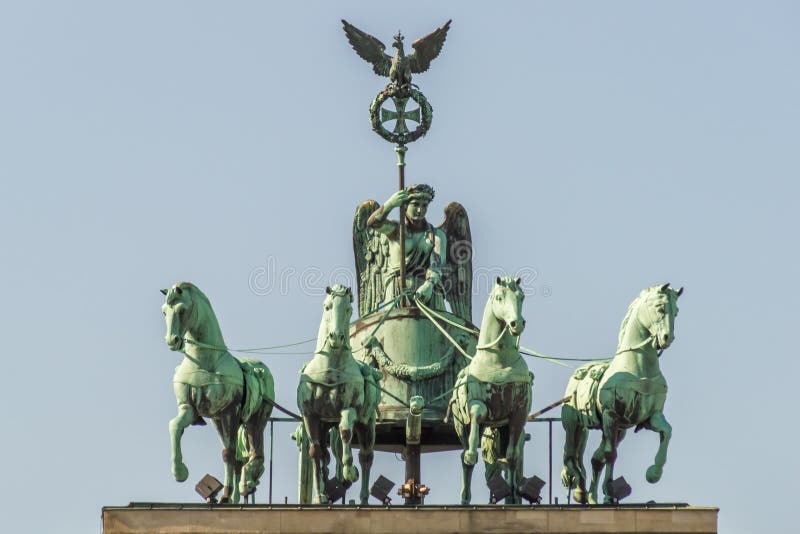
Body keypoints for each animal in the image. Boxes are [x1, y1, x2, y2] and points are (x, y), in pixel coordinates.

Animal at [162, 282, 276, 504]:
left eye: (182, 310)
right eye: (164, 311)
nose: (172, 341)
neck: (205, 360)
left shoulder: (230, 412)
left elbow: (230, 453)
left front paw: (226, 494)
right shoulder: (190, 409)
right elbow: (175, 426)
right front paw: (179, 472)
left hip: (255, 419)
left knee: (252, 451)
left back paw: (244, 483)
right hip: (218, 420)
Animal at [296, 286, 382, 504]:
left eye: (349, 309)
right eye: (327, 307)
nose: (336, 337)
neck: (330, 369)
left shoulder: (348, 408)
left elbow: (345, 432)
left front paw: (348, 471)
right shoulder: (311, 416)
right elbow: (316, 451)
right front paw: (321, 495)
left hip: (367, 423)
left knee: (366, 456)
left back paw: (363, 498)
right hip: (326, 425)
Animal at [450, 278, 532, 504]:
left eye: (521, 297)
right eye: (499, 297)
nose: (516, 324)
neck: (499, 360)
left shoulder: (518, 413)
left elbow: (512, 457)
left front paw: (512, 496)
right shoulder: (478, 405)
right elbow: (477, 415)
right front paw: (472, 453)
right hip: (460, 426)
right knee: (464, 457)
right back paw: (464, 498)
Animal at [564, 284, 680, 506]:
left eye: (676, 312)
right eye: (660, 307)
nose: (667, 339)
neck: (638, 368)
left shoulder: (650, 417)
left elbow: (667, 431)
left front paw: (654, 473)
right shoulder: (611, 415)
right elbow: (610, 455)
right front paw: (609, 488)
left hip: (619, 431)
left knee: (595, 459)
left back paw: (593, 497)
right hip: (575, 424)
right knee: (572, 454)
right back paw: (580, 489)